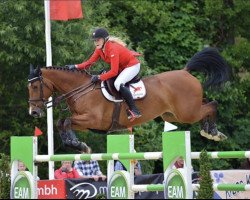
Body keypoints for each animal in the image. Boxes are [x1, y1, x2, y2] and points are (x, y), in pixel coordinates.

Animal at [27, 47, 230, 151]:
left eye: (35, 87)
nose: (34, 112)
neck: (80, 90)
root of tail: (185, 71)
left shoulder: (93, 120)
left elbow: (66, 121)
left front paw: (78, 144)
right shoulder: (85, 123)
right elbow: (61, 123)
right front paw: (75, 144)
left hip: (187, 113)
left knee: (212, 104)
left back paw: (213, 132)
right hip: (173, 115)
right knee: (206, 105)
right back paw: (209, 130)